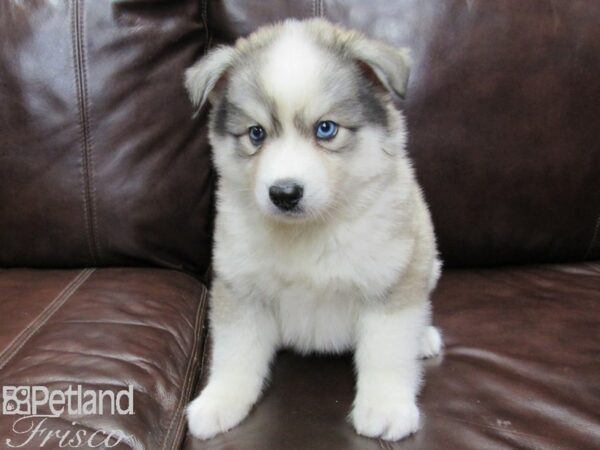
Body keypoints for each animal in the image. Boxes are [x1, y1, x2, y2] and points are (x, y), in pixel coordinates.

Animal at [185, 19, 442, 442]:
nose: (284, 194)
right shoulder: (240, 287)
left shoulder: (389, 281)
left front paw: (386, 406)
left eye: (326, 129)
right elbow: (235, 352)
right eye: (256, 133)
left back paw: (423, 336)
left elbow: (387, 351)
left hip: (427, 258)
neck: (309, 230)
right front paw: (221, 400)